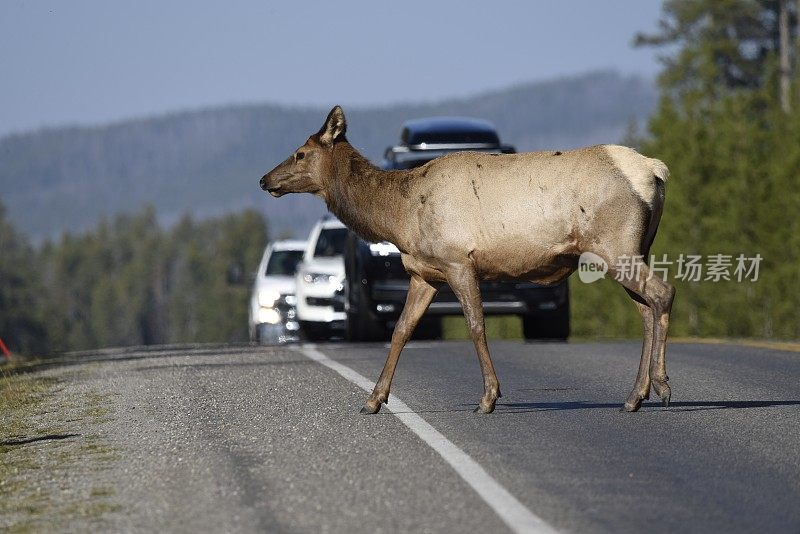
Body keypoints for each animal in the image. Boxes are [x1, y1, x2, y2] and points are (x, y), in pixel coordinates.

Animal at [262, 104, 676, 414]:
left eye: (301, 153)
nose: (265, 179)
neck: (399, 217)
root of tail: (656, 170)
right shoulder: (424, 273)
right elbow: (401, 330)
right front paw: (373, 400)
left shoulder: (458, 261)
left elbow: (477, 327)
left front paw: (489, 397)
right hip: (634, 248)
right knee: (645, 307)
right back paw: (636, 395)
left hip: (615, 245)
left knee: (663, 292)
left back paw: (661, 386)